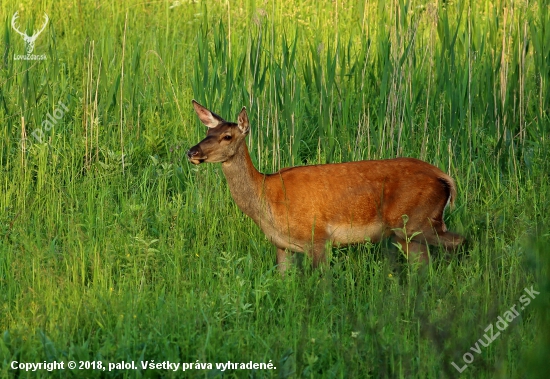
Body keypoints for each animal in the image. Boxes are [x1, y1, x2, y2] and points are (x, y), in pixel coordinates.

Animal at [189, 101, 466, 274]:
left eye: (227, 136)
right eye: (207, 132)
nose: (192, 152)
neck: (267, 197)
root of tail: (445, 178)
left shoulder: (318, 237)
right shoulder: (282, 245)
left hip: (413, 223)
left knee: (457, 243)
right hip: (414, 229)